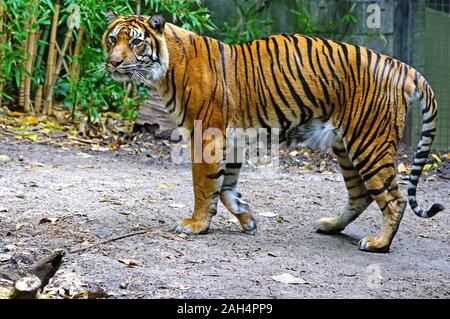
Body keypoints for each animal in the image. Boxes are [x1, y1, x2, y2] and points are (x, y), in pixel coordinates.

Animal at [103, 10, 444, 254]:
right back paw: (330, 226)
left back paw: (378, 243)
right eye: (112, 39)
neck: (165, 69)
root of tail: (400, 65)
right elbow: (225, 187)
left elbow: (204, 185)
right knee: (360, 194)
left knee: (394, 199)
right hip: (345, 146)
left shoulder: (207, 135)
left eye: (136, 42)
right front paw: (247, 218)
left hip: (369, 143)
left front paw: (196, 225)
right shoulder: (232, 140)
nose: (113, 62)